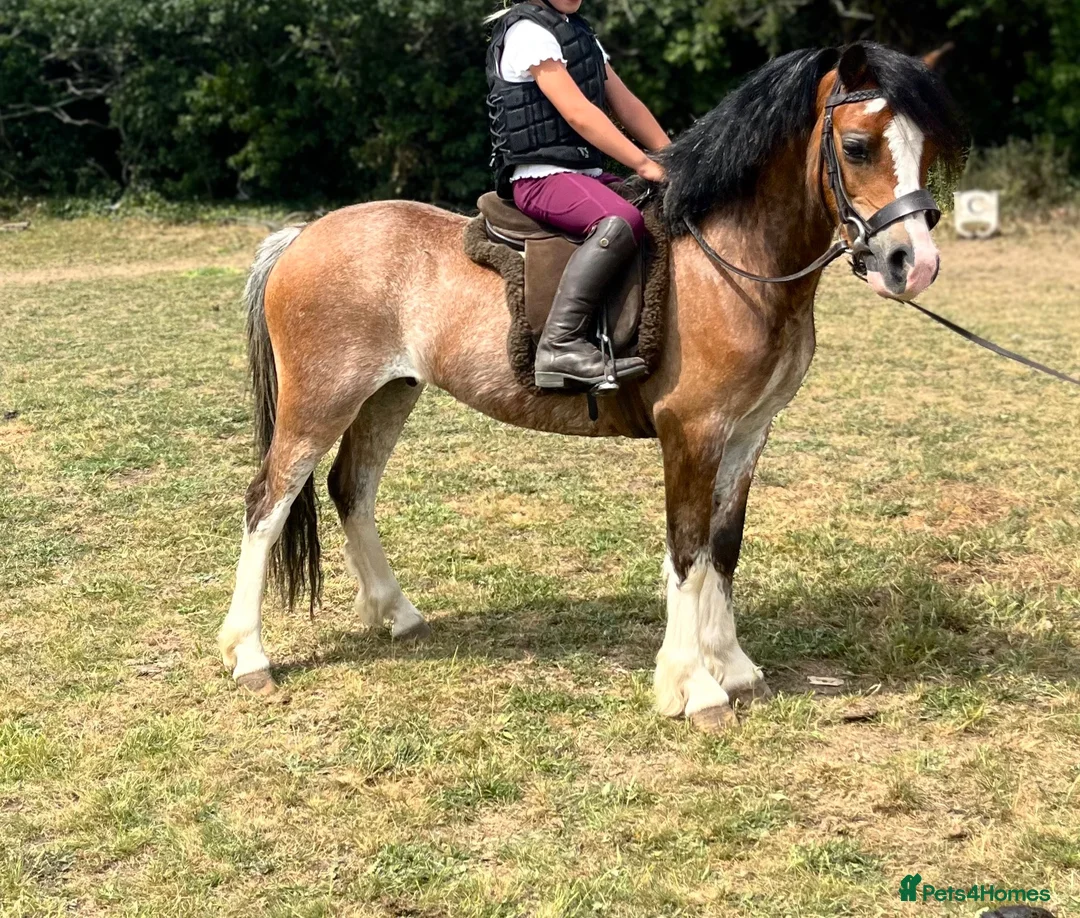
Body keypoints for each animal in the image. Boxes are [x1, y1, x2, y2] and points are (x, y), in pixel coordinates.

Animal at [216, 41, 966, 731]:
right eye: (857, 146)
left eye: (927, 147)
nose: (915, 263)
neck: (734, 262)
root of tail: (300, 236)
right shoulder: (693, 432)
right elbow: (687, 551)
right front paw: (695, 688)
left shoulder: (748, 433)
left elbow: (724, 547)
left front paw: (734, 666)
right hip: (322, 400)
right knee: (267, 503)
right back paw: (250, 656)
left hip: (388, 393)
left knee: (352, 490)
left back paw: (397, 613)